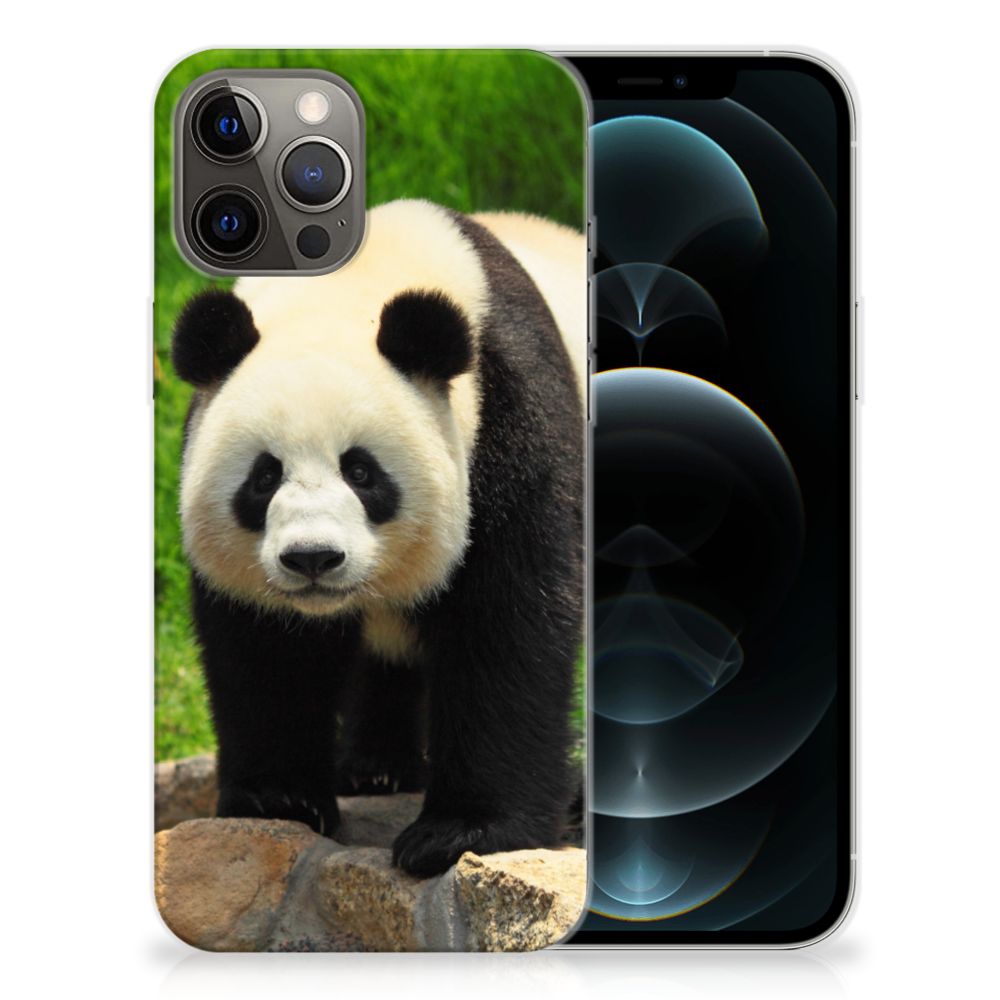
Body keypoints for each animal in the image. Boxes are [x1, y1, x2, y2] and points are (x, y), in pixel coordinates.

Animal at [171, 199, 585, 877]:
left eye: (362, 472)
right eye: (264, 477)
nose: (312, 558)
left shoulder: (511, 418)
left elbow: (508, 623)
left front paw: (461, 832)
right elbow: (267, 648)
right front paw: (278, 798)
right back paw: (375, 769)